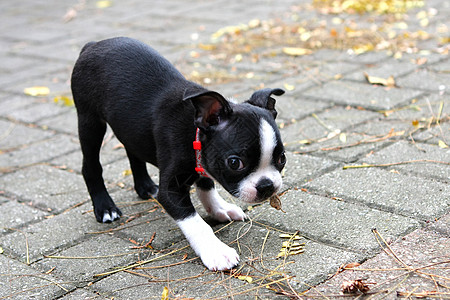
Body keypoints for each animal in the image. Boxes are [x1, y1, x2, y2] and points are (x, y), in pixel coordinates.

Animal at [72, 36, 286, 270]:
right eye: (235, 163)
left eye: (281, 159)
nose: (267, 186)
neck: (194, 130)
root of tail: (93, 44)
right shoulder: (171, 191)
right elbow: (195, 222)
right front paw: (216, 251)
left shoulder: (203, 160)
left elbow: (206, 186)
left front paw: (219, 207)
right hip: (89, 121)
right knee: (90, 165)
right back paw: (105, 207)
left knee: (133, 152)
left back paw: (146, 187)